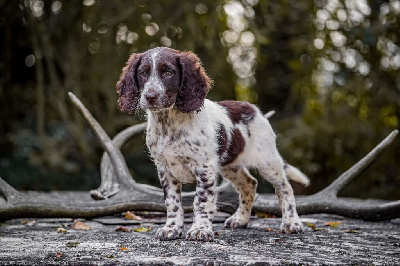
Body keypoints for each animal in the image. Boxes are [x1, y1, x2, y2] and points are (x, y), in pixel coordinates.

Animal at [117, 46, 308, 242]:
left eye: (168, 72)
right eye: (143, 73)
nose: (150, 96)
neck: (169, 123)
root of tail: (254, 110)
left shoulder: (204, 167)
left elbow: (201, 201)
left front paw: (200, 229)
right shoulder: (164, 169)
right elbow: (172, 202)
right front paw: (171, 229)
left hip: (267, 161)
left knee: (285, 188)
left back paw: (292, 223)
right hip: (230, 166)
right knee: (249, 184)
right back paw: (240, 219)